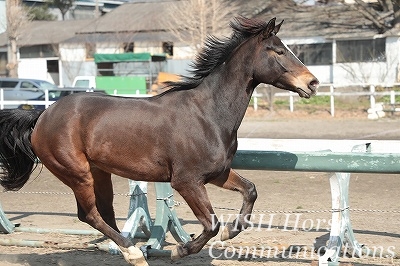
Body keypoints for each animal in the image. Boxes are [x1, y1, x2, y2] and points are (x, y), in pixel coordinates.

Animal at [0, 16, 318, 264]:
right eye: (278, 51)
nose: (312, 83)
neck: (208, 113)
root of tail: (42, 115)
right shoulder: (186, 181)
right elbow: (211, 224)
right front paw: (180, 249)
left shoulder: (217, 173)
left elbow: (249, 191)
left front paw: (231, 231)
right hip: (77, 174)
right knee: (88, 215)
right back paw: (134, 254)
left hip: (99, 172)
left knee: (104, 213)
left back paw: (130, 251)